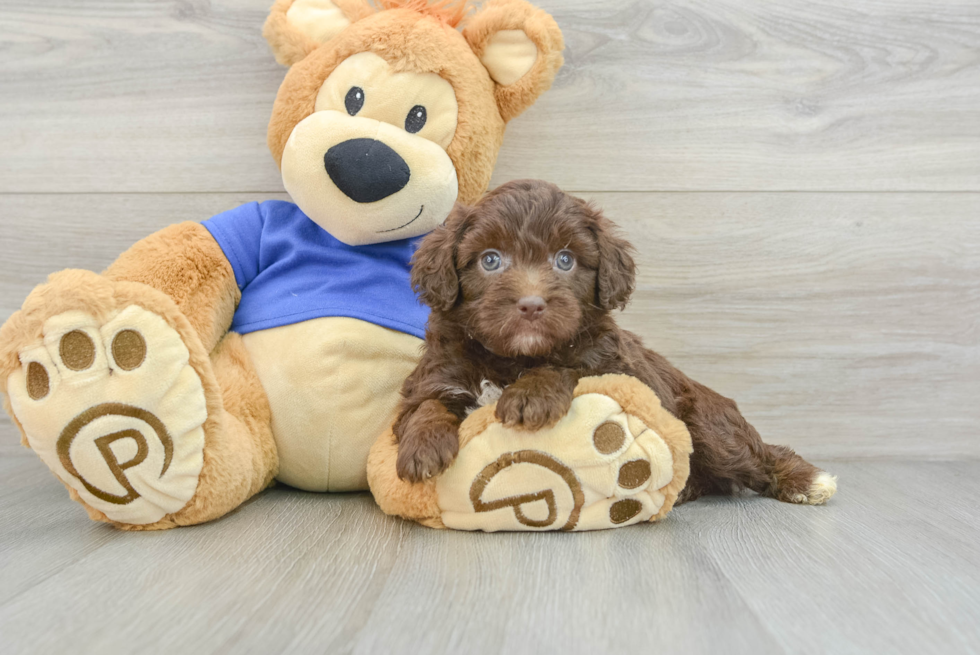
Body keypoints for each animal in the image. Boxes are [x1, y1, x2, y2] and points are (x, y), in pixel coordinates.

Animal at [394, 179, 840, 508]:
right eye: (490, 259)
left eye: (565, 260)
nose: (531, 304)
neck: (514, 358)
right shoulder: (436, 373)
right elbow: (424, 405)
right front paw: (422, 448)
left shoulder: (616, 368)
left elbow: (571, 367)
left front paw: (531, 395)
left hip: (710, 425)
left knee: (755, 454)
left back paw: (807, 480)